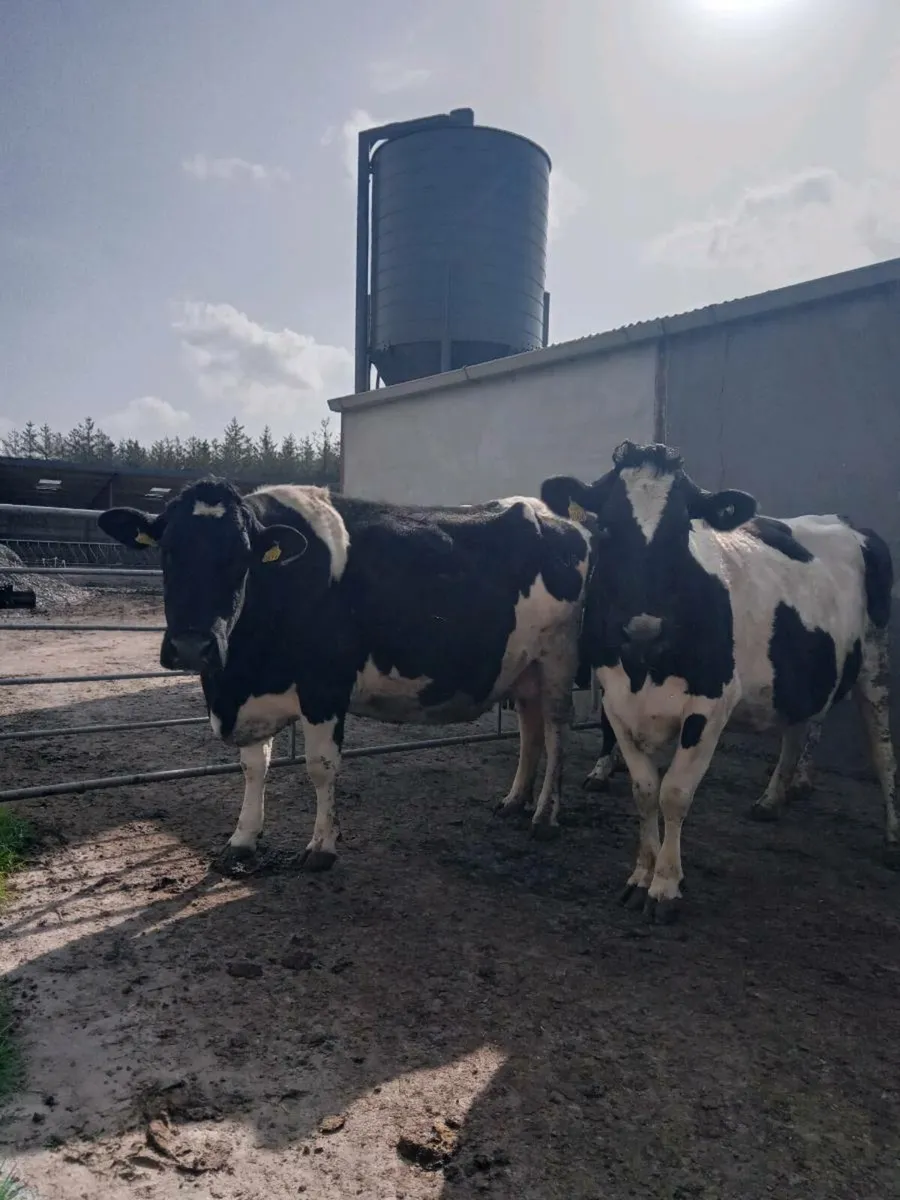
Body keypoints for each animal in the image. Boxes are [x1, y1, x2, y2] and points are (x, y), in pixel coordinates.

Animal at [98, 479, 592, 871]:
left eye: (241, 557)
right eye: (167, 551)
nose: (191, 647)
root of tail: (551, 514)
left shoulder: (325, 687)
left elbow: (320, 767)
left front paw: (322, 847)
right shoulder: (252, 692)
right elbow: (253, 766)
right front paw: (243, 838)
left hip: (559, 657)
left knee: (556, 729)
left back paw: (546, 816)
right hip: (524, 667)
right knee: (530, 728)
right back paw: (515, 801)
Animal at [541, 440, 899, 922]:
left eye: (682, 531)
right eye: (607, 530)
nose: (644, 627)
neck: (645, 667)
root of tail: (845, 521)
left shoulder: (710, 705)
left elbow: (674, 793)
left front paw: (665, 887)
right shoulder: (615, 699)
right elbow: (644, 791)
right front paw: (641, 875)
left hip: (875, 661)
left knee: (882, 750)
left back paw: (893, 836)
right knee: (800, 725)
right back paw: (773, 799)